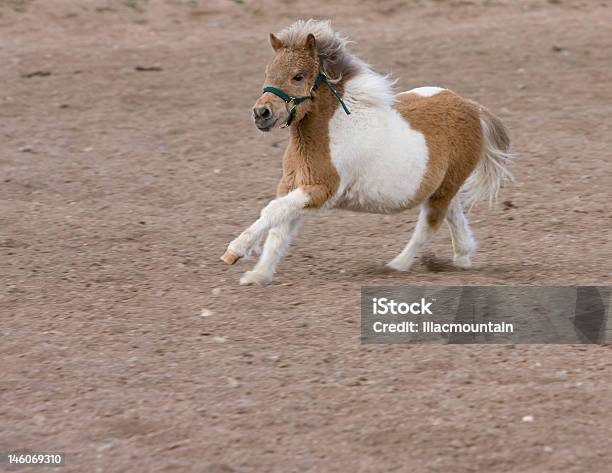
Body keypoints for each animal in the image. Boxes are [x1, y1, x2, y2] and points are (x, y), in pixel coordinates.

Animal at [220, 19, 512, 284]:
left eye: (298, 76)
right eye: (268, 72)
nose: (261, 113)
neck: (331, 131)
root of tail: (472, 107)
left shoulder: (320, 190)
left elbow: (272, 212)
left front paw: (235, 251)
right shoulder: (293, 186)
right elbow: (279, 230)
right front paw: (258, 275)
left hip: (444, 188)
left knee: (429, 225)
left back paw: (397, 265)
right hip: (442, 187)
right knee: (453, 213)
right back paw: (462, 258)